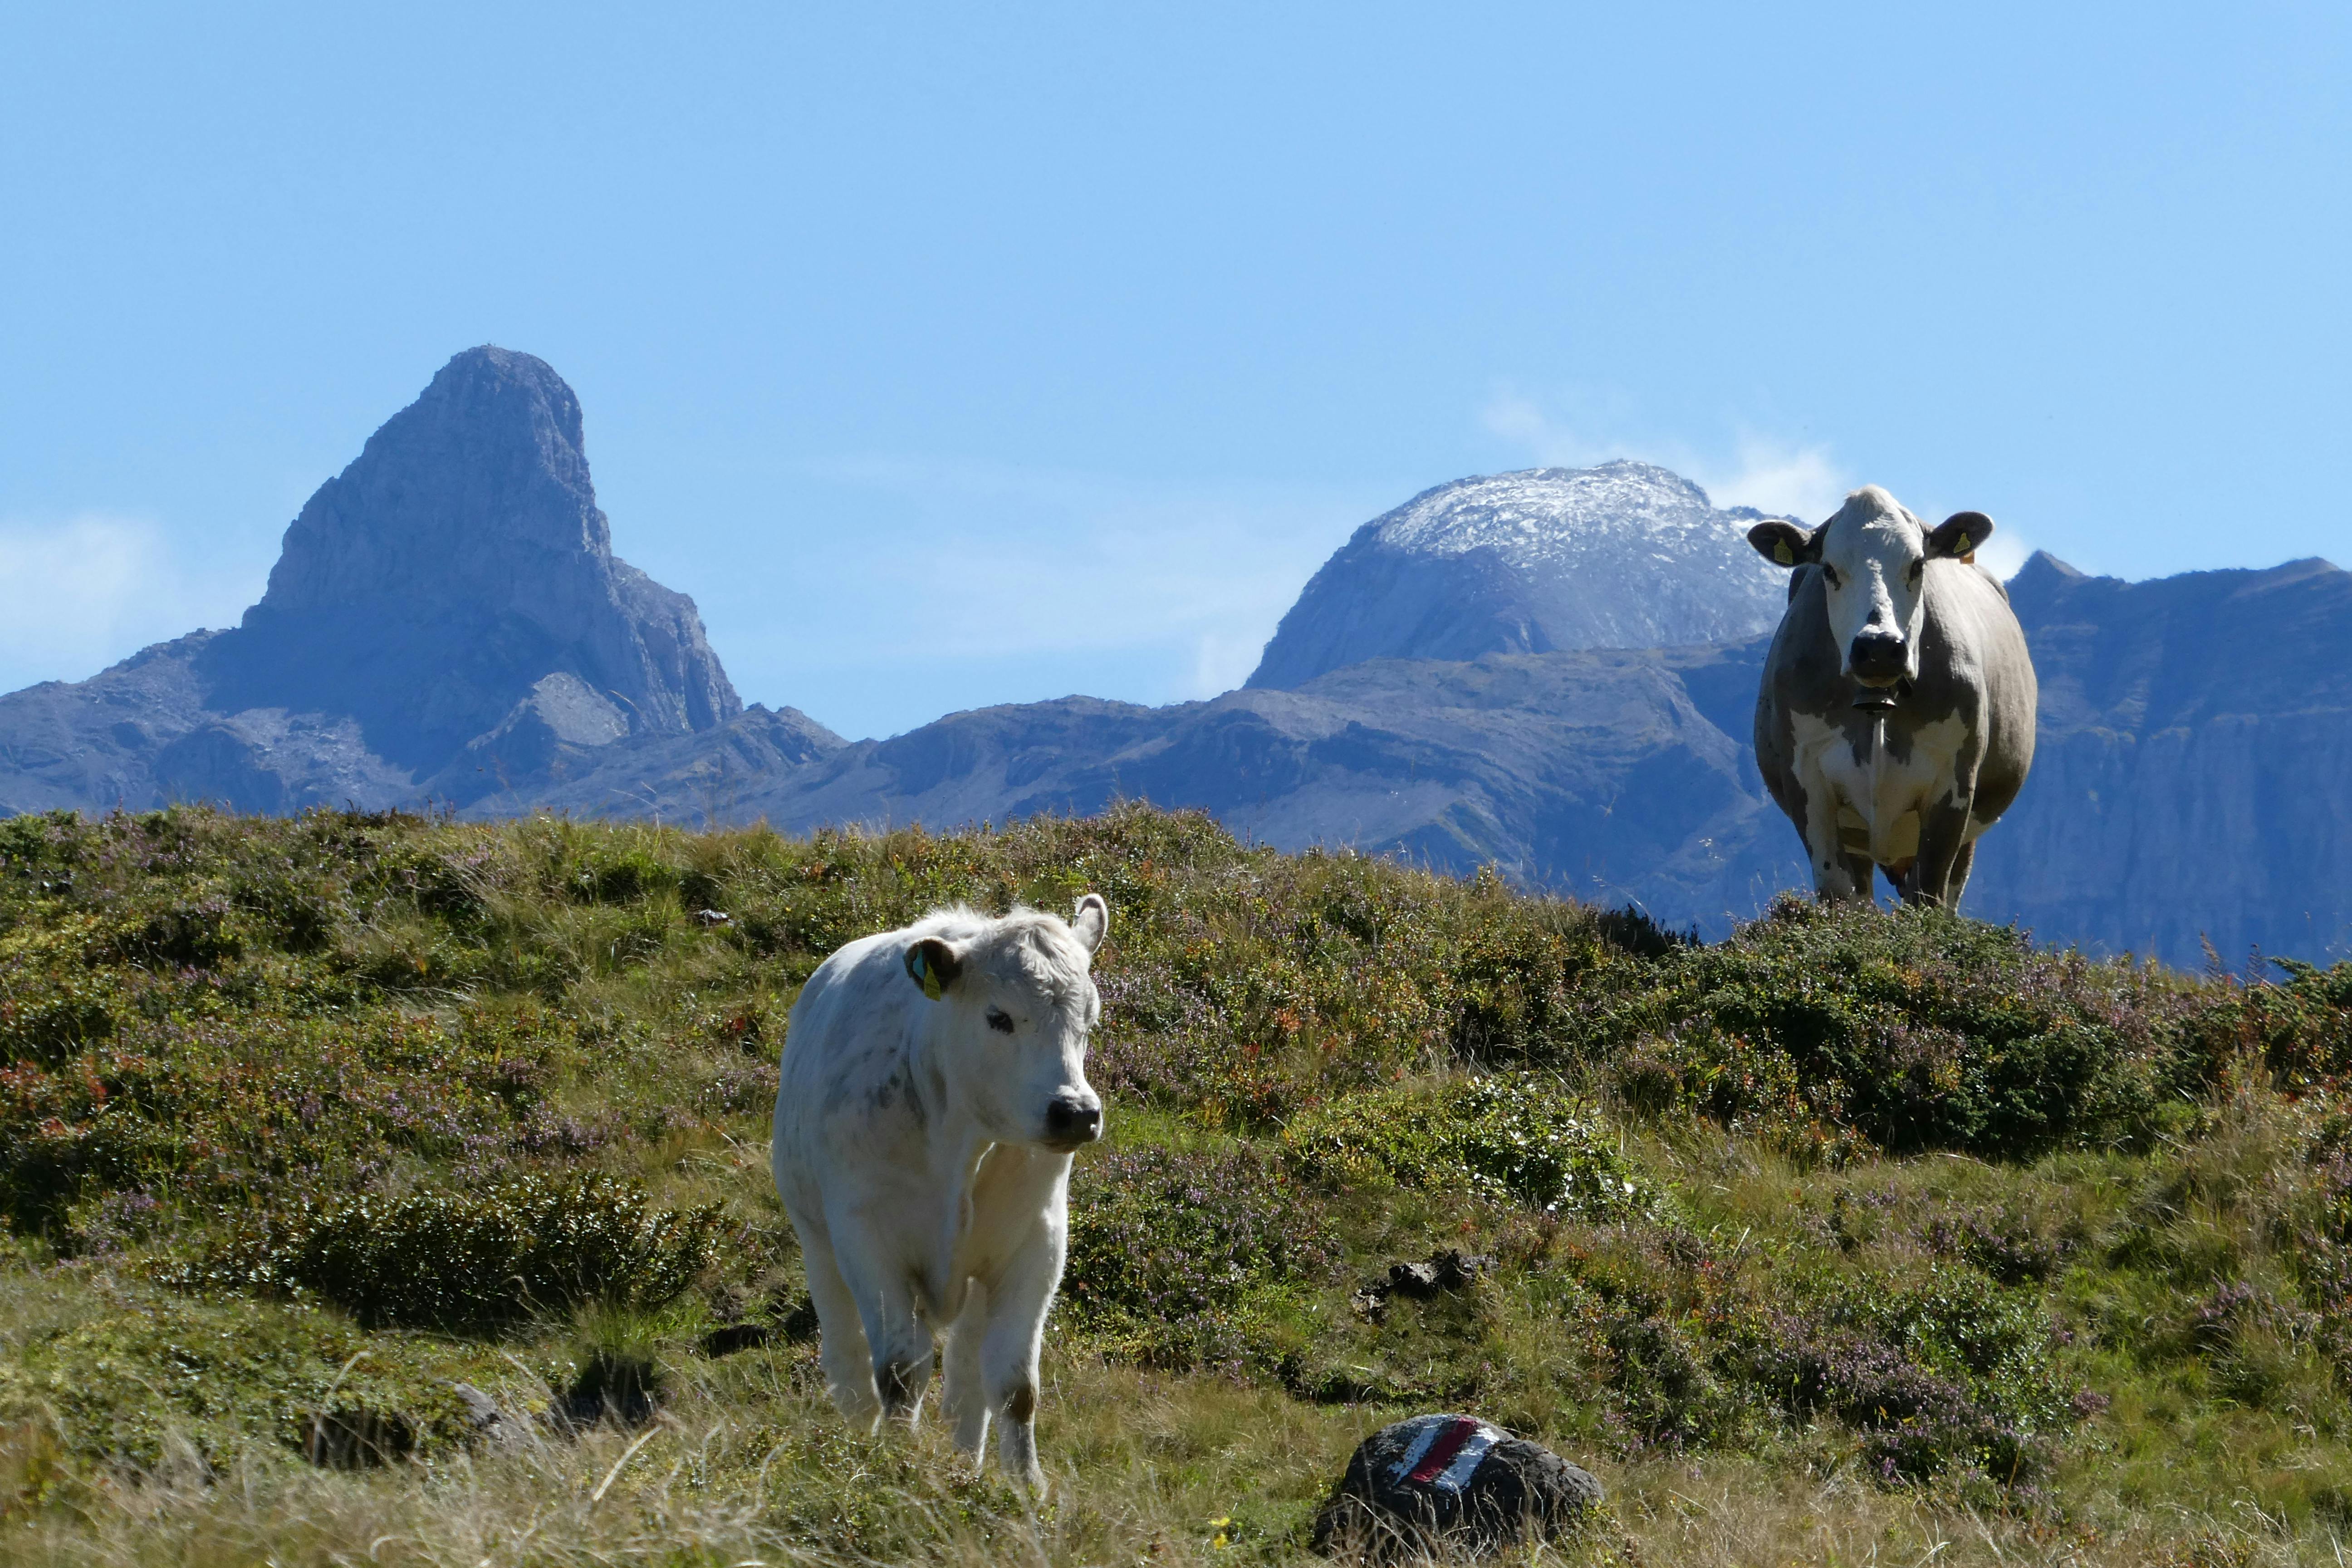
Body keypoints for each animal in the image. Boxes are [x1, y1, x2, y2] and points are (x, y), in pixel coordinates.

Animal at [769, 895, 1110, 1496]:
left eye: (1088, 1020)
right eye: (998, 1018)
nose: (1075, 1112)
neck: (964, 1143)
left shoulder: (1037, 1244)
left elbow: (1014, 1384)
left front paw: (1027, 1487)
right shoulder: (867, 1238)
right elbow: (901, 1370)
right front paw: (894, 1462)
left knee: (967, 1377)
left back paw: (964, 1462)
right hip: (818, 1243)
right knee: (849, 1361)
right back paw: (856, 1437)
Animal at [1746, 486, 2036, 909]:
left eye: (1917, 565)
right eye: (1829, 569)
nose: (1879, 647)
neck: (1877, 703)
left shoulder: (1955, 781)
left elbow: (1928, 895)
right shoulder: (1805, 777)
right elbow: (1837, 894)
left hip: (1972, 828)